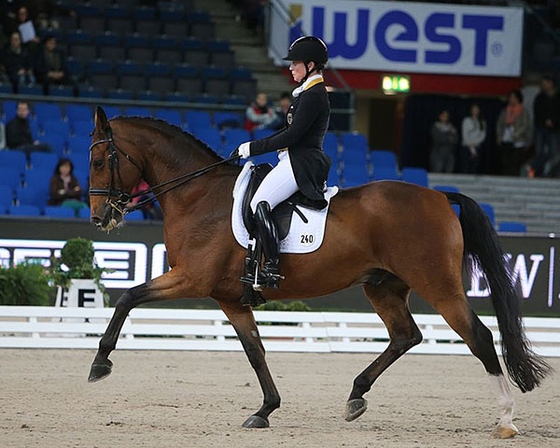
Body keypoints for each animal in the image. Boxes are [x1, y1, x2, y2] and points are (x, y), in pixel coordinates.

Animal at [87, 107, 552, 438]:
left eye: (99, 159)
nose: (98, 217)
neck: (197, 195)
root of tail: (440, 194)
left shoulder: (192, 278)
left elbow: (127, 297)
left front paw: (100, 365)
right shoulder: (229, 298)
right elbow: (255, 351)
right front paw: (265, 410)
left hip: (438, 285)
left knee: (479, 337)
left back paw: (506, 420)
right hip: (383, 287)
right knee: (407, 335)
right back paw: (356, 396)